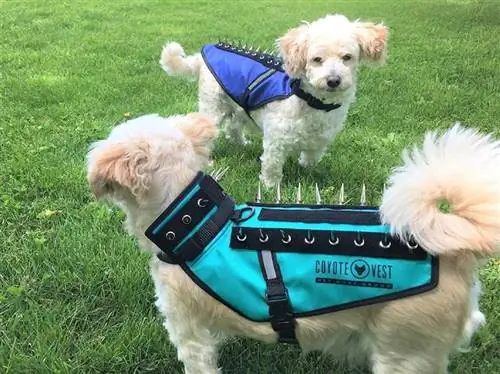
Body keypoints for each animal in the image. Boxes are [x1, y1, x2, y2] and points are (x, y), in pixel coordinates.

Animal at [158, 14, 388, 187]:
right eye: (316, 59)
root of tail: (201, 56)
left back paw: (241, 143)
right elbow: (272, 165)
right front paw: (271, 187)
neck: (310, 100)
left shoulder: (320, 140)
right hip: (212, 107)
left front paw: (308, 171)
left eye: (347, 57)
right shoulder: (277, 140)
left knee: (233, 127)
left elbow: (311, 158)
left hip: (238, 106)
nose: (333, 80)